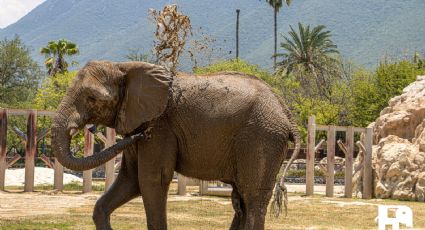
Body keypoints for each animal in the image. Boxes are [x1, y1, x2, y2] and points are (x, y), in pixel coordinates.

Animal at [51, 60, 300, 229]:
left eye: (92, 98)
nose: (143, 135)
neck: (124, 66)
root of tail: (286, 112)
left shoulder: (161, 127)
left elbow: (152, 180)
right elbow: (131, 180)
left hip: (261, 136)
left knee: (253, 196)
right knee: (241, 200)